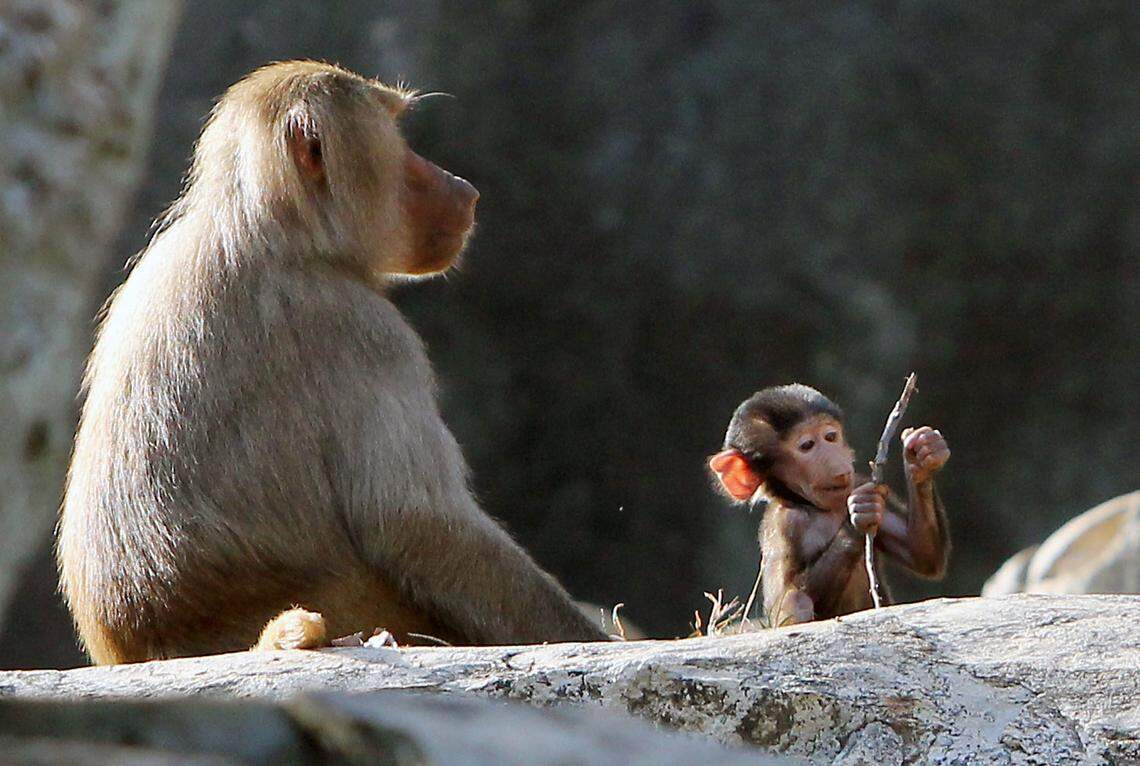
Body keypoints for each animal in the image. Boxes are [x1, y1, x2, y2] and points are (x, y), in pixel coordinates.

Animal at [707, 384, 950, 626]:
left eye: (830, 437)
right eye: (807, 445)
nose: (837, 461)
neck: (814, 507)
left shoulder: (859, 482)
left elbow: (922, 553)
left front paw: (921, 456)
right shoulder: (784, 523)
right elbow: (785, 595)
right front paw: (859, 514)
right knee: (796, 601)